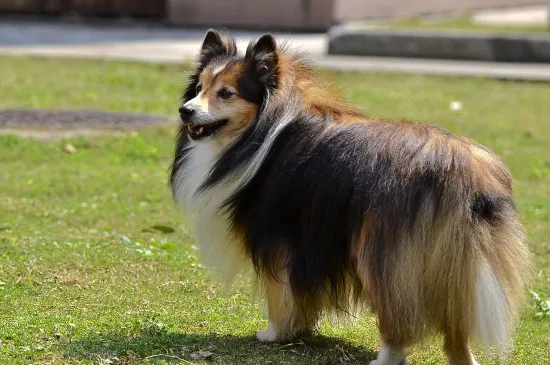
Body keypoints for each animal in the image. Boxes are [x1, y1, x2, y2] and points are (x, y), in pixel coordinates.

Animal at [170, 29, 532, 364]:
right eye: (199, 87)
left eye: (226, 93)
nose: (185, 110)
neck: (264, 129)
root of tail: (465, 172)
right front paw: (300, 329)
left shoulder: (278, 238)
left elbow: (279, 293)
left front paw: (274, 333)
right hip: (454, 266)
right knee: (455, 332)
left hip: (384, 258)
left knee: (398, 320)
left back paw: (385, 357)